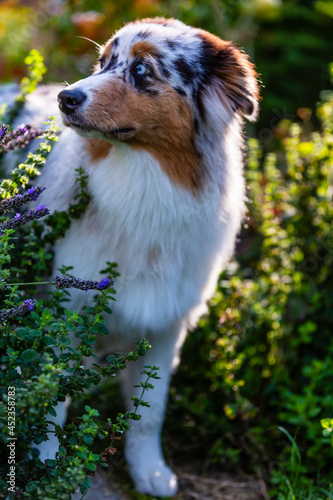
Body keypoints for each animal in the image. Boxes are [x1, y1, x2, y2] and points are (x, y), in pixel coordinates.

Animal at [2, 18, 258, 496]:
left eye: (141, 70)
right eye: (103, 62)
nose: (66, 98)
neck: (144, 183)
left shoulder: (165, 325)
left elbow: (149, 413)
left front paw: (151, 472)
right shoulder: (63, 312)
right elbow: (50, 400)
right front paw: (46, 466)